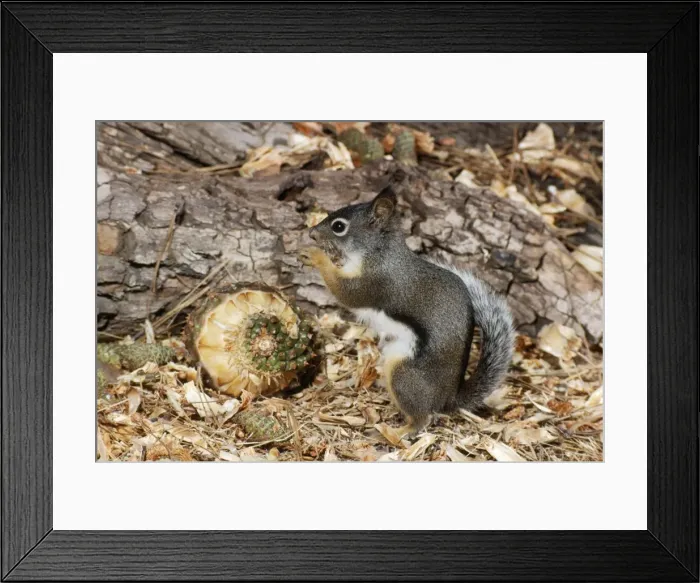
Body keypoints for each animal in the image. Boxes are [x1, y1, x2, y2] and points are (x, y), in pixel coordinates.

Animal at [299, 183, 514, 437]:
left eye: (339, 226)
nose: (312, 233)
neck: (379, 252)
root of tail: (447, 400)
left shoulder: (376, 282)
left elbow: (346, 293)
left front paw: (315, 255)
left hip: (404, 374)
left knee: (423, 418)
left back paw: (399, 432)